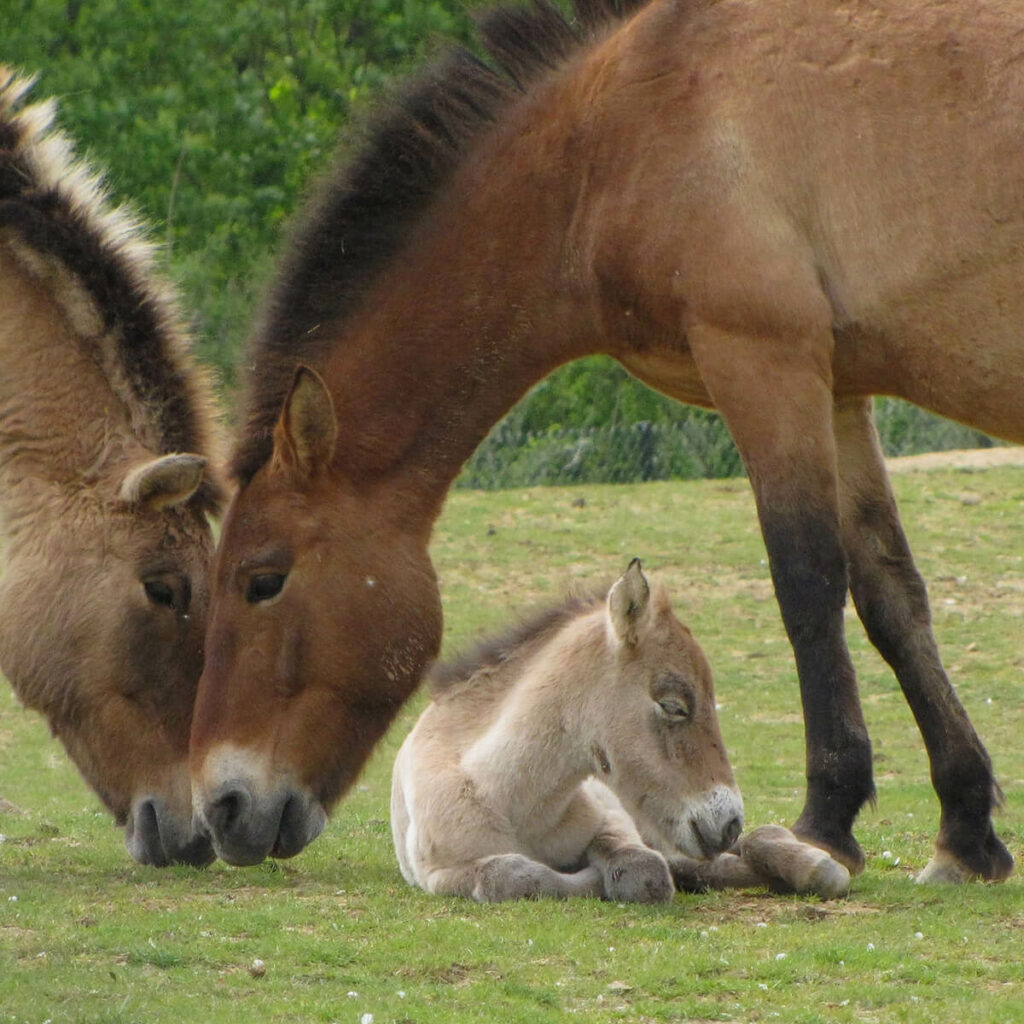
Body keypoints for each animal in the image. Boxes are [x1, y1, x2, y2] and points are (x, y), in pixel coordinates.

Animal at [392, 560, 743, 901]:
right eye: (673, 705)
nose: (731, 823)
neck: (516, 805)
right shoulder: (438, 873)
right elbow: (512, 877)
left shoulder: (613, 818)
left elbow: (644, 871)